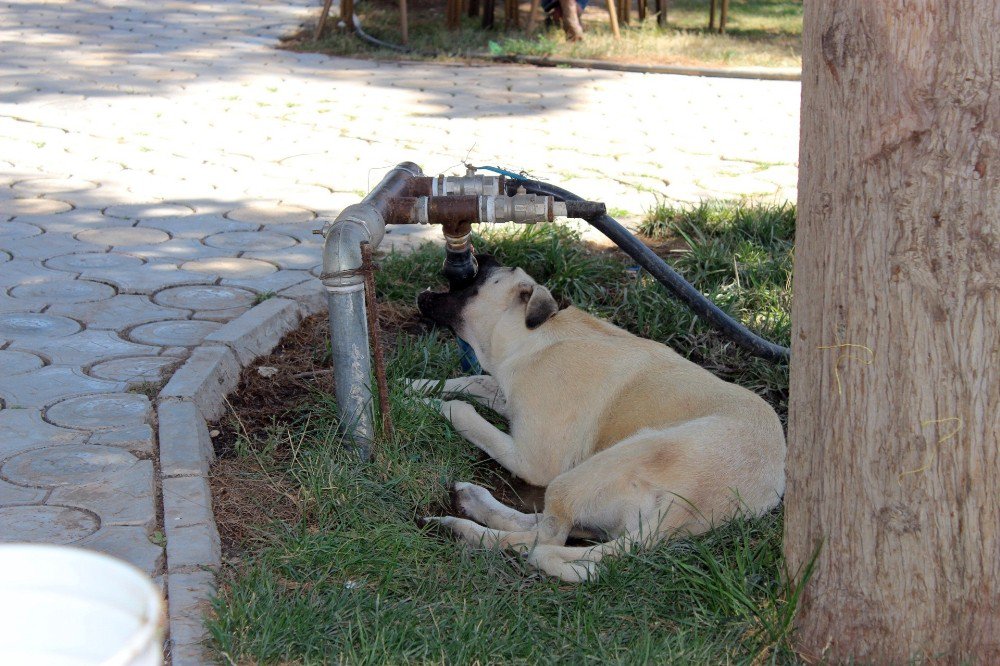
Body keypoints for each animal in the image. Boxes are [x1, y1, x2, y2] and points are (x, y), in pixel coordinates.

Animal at [410, 255, 784, 580]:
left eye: (491, 270)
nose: (480, 254)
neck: (536, 336)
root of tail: (683, 509)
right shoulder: (505, 393)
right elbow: (471, 381)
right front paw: (411, 386)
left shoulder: (536, 462)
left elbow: (464, 409)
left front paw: (426, 404)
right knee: (547, 527)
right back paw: (472, 502)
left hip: (589, 470)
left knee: (544, 539)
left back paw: (458, 528)